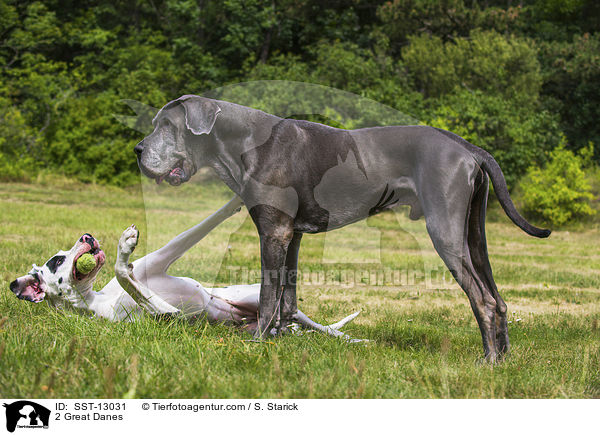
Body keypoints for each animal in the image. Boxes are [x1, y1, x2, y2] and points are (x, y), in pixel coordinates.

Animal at [9, 198, 360, 340]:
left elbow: (194, 230)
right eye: (57, 261)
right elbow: (125, 273)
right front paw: (126, 245)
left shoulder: (157, 261)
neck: (98, 300)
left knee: (321, 328)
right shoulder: (166, 315)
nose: (87, 236)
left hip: (260, 300)